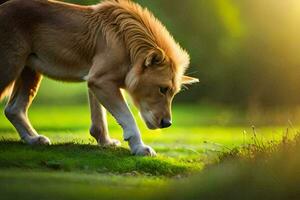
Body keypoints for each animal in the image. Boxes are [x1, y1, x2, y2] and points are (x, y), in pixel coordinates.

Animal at [0, 0, 198, 156]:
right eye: (162, 89)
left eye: (173, 93)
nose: (167, 123)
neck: (125, 41)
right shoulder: (101, 81)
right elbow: (128, 118)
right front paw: (139, 148)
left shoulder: (97, 81)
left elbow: (99, 118)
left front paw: (106, 142)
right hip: (11, 67)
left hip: (29, 71)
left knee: (13, 109)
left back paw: (33, 139)